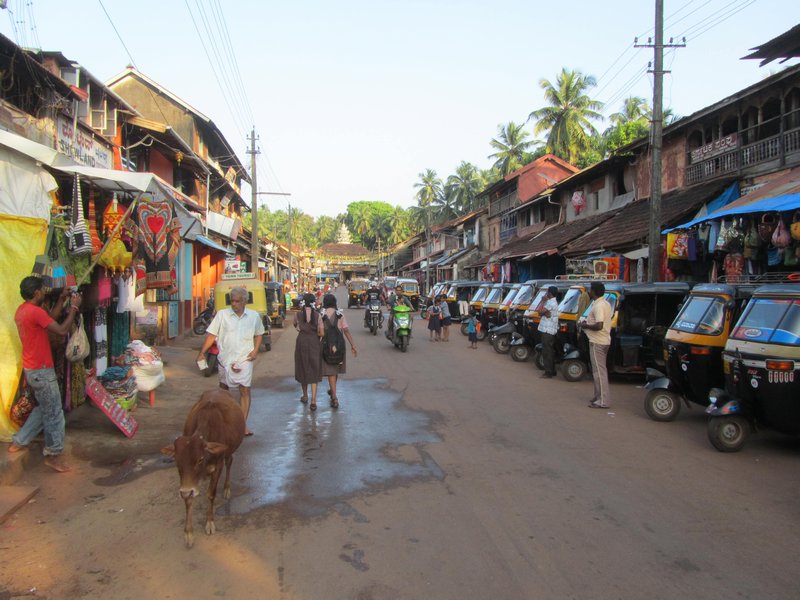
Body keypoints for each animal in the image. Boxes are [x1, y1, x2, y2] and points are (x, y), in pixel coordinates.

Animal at [158, 390, 242, 548]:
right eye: (177, 460)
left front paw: (209, 522)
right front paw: (189, 533)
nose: (186, 491)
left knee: (230, 462)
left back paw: (227, 488)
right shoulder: (187, 482)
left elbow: (211, 494)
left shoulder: (217, 466)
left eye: (200, 459)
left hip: (228, 453)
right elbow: (188, 499)